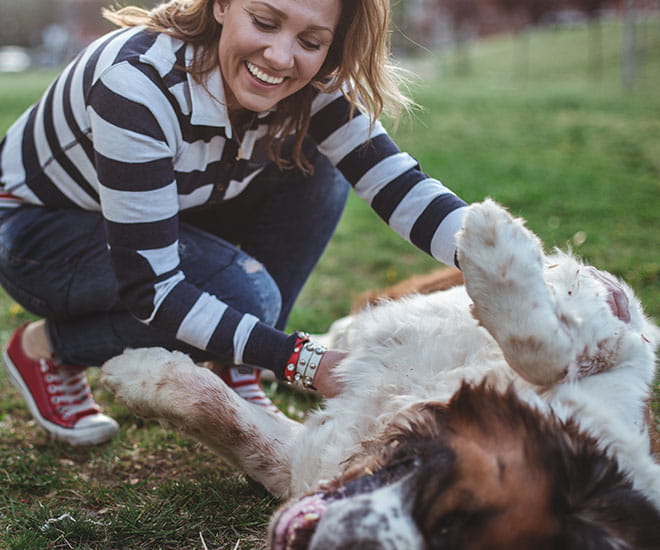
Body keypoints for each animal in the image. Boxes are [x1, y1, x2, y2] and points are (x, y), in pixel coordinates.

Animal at [103, 201, 660, 548]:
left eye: (446, 535)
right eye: (448, 514)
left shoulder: (307, 461)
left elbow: (231, 423)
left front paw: (139, 375)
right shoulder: (613, 325)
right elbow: (547, 346)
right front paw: (493, 238)